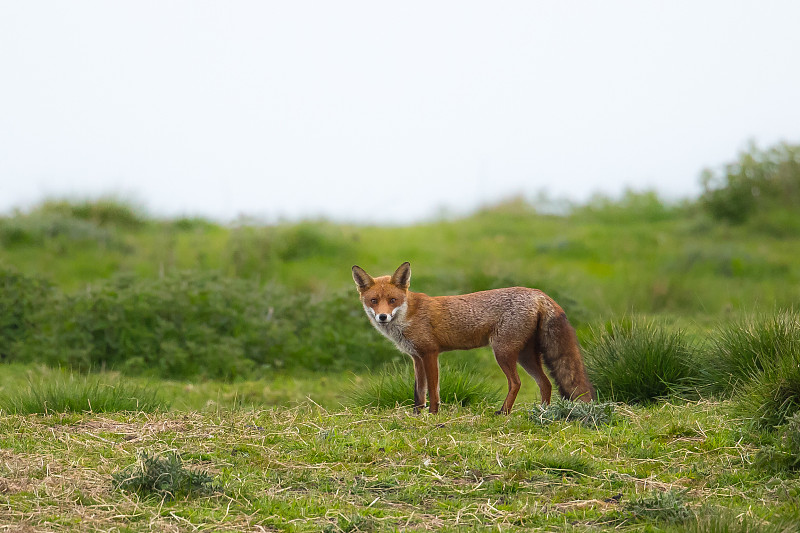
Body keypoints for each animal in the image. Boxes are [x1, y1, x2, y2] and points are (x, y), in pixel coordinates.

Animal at [350, 260, 592, 414]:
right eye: (373, 301)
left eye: (392, 300)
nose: (382, 316)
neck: (408, 315)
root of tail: (538, 293)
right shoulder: (416, 357)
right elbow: (419, 392)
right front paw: (417, 414)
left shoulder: (430, 353)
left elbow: (434, 390)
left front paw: (434, 413)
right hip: (526, 356)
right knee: (546, 383)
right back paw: (542, 412)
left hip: (503, 353)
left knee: (516, 383)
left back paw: (503, 412)